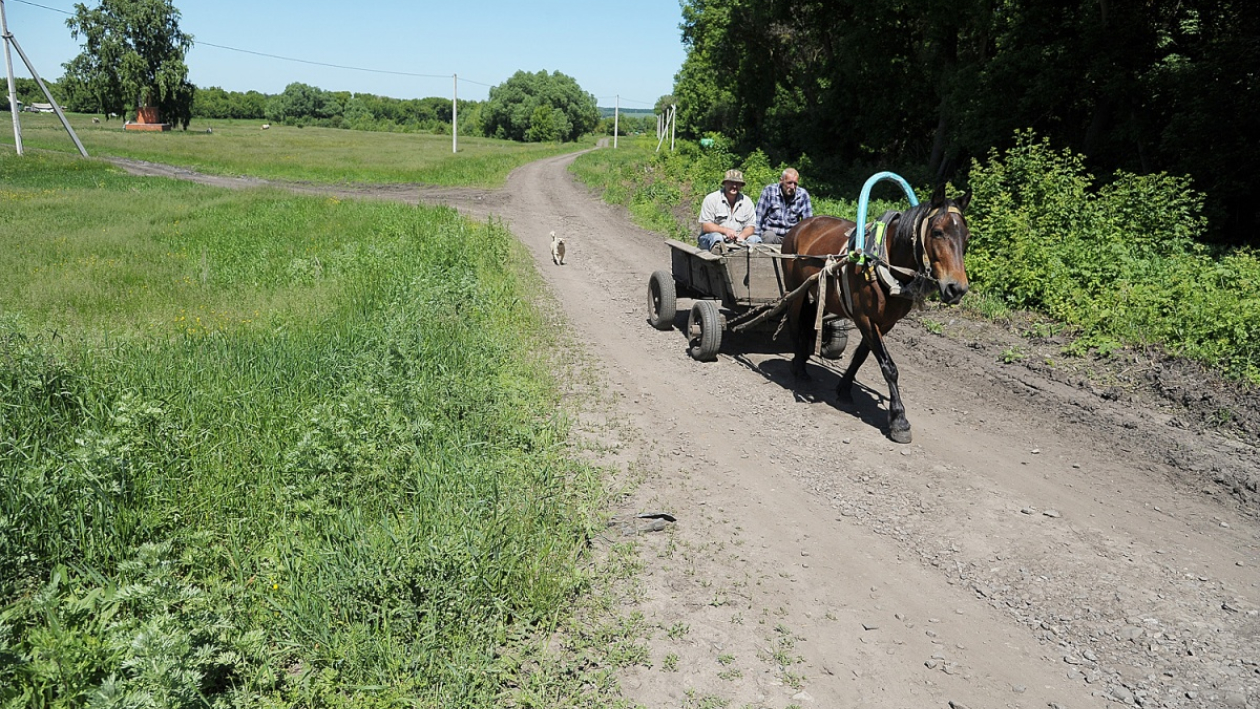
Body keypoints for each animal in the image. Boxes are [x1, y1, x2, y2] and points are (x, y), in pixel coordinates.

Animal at [776, 187, 972, 443]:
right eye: (938, 232)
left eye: (966, 237)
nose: (957, 288)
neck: (886, 262)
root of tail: (801, 225)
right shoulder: (865, 319)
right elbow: (889, 367)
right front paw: (899, 419)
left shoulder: (886, 323)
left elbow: (861, 355)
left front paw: (844, 390)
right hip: (795, 290)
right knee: (794, 323)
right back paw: (799, 368)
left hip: (818, 292)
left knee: (808, 323)